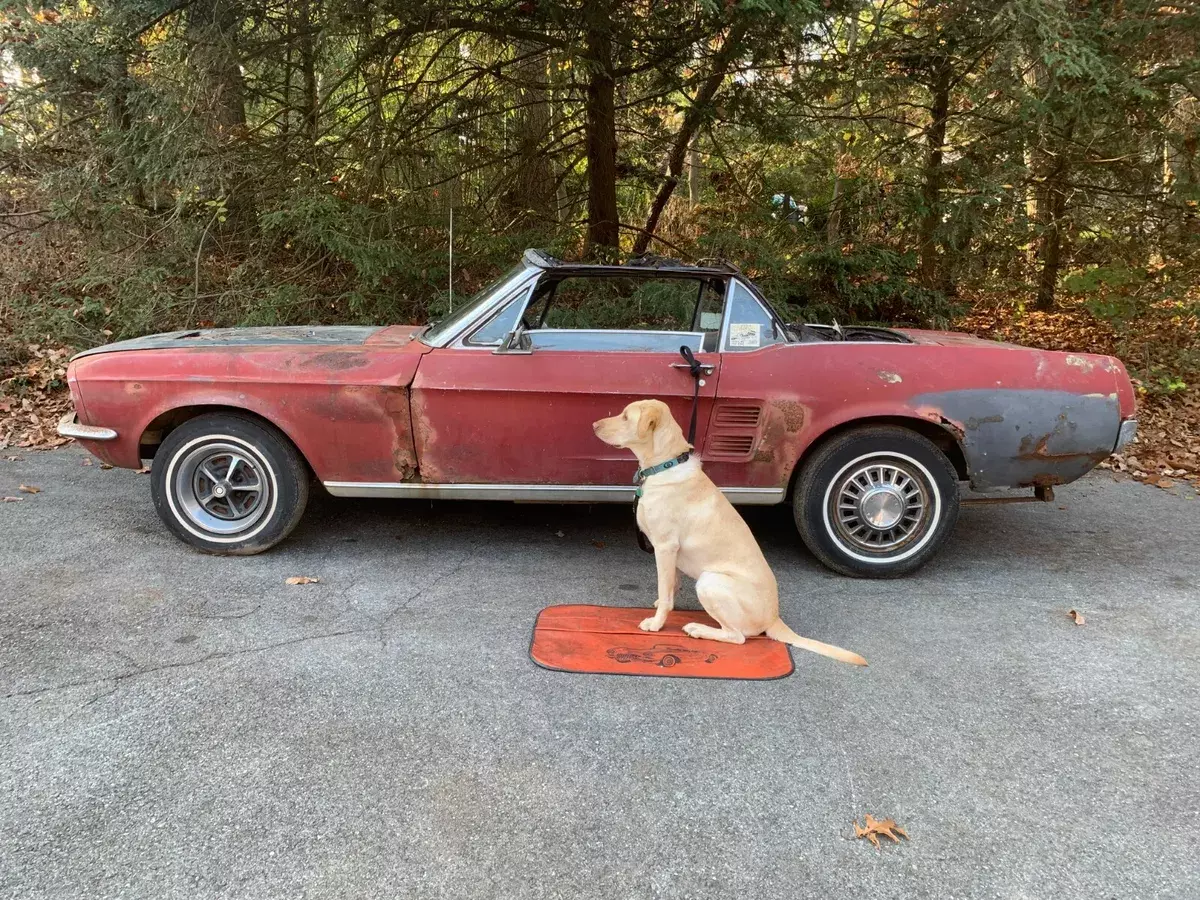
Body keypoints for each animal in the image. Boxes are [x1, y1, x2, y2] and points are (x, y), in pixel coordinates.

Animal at [595, 400, 868, 672]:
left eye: (625, 417)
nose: (594, 425)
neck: (664, 465)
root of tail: (774, 617)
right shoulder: (670, 554)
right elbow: (670, 584)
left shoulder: (665, 547)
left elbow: (665, 592)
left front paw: (656, 623)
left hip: (710, 581)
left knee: (737, 637)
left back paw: (699, 629)